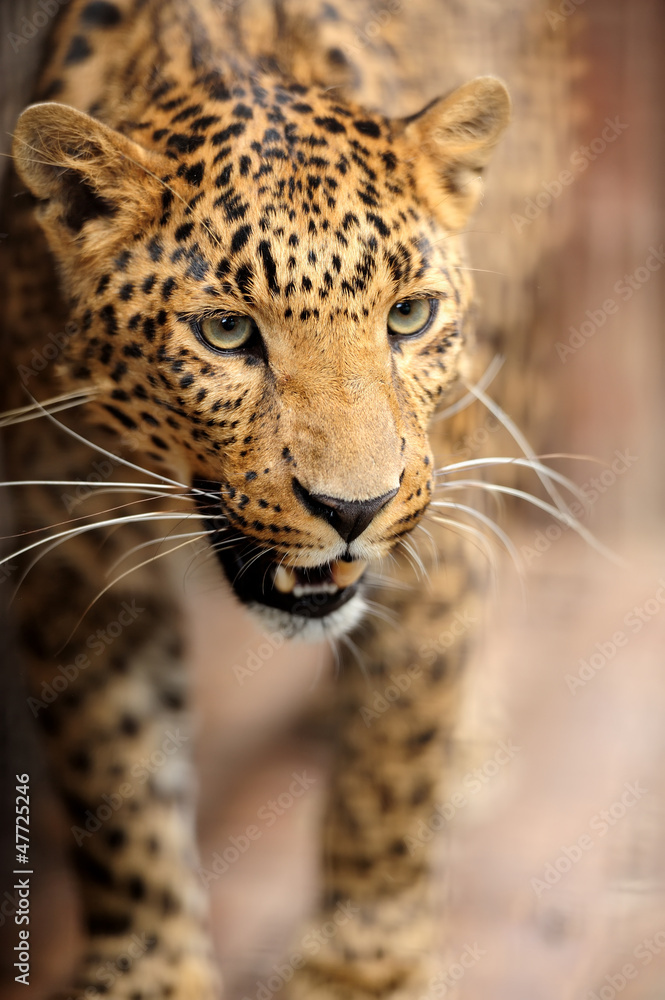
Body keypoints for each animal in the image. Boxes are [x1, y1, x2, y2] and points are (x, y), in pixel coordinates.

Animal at [0, 1, 519, 997]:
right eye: (226, 333)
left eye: (408, 317)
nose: (354, 510)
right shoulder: (66, 556)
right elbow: (115, 777)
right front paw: (154, 970)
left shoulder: (435, 547)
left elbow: (391, 768)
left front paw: (361, 969)